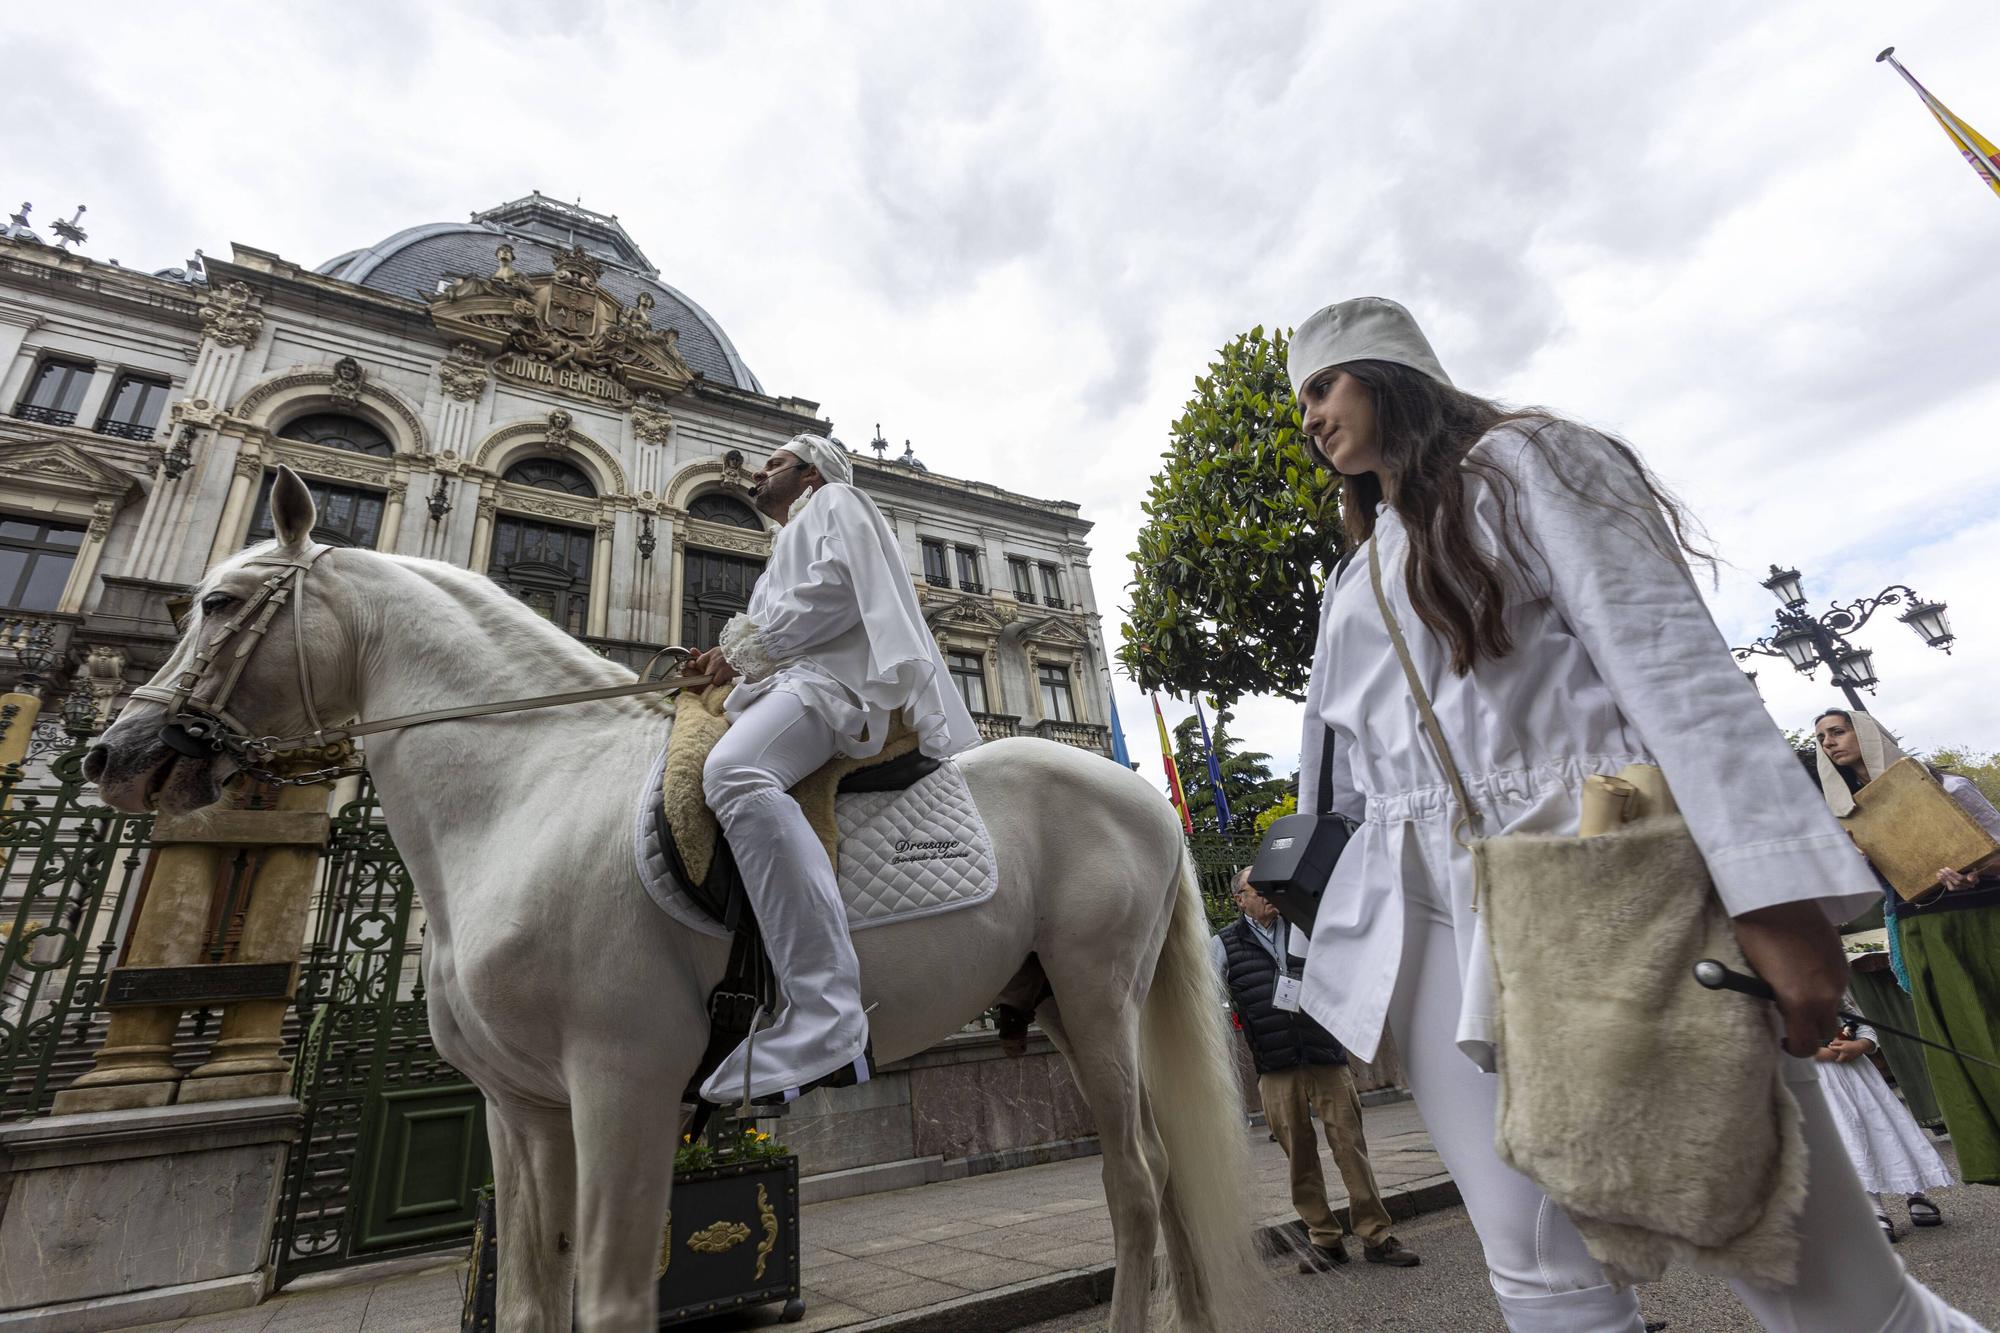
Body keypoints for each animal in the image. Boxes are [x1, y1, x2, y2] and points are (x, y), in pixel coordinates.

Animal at [94, 472, 1256, 1320]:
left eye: (219, 603)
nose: (116, 753)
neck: (526, 789)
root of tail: (1142, 797)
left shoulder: (627, 1081)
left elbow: (611, 1298)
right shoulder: (520, 1108)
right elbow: (529, 1300)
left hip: (1099, 996)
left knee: (1138, 1183)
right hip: (1059, 1000)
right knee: (1158, 1181)